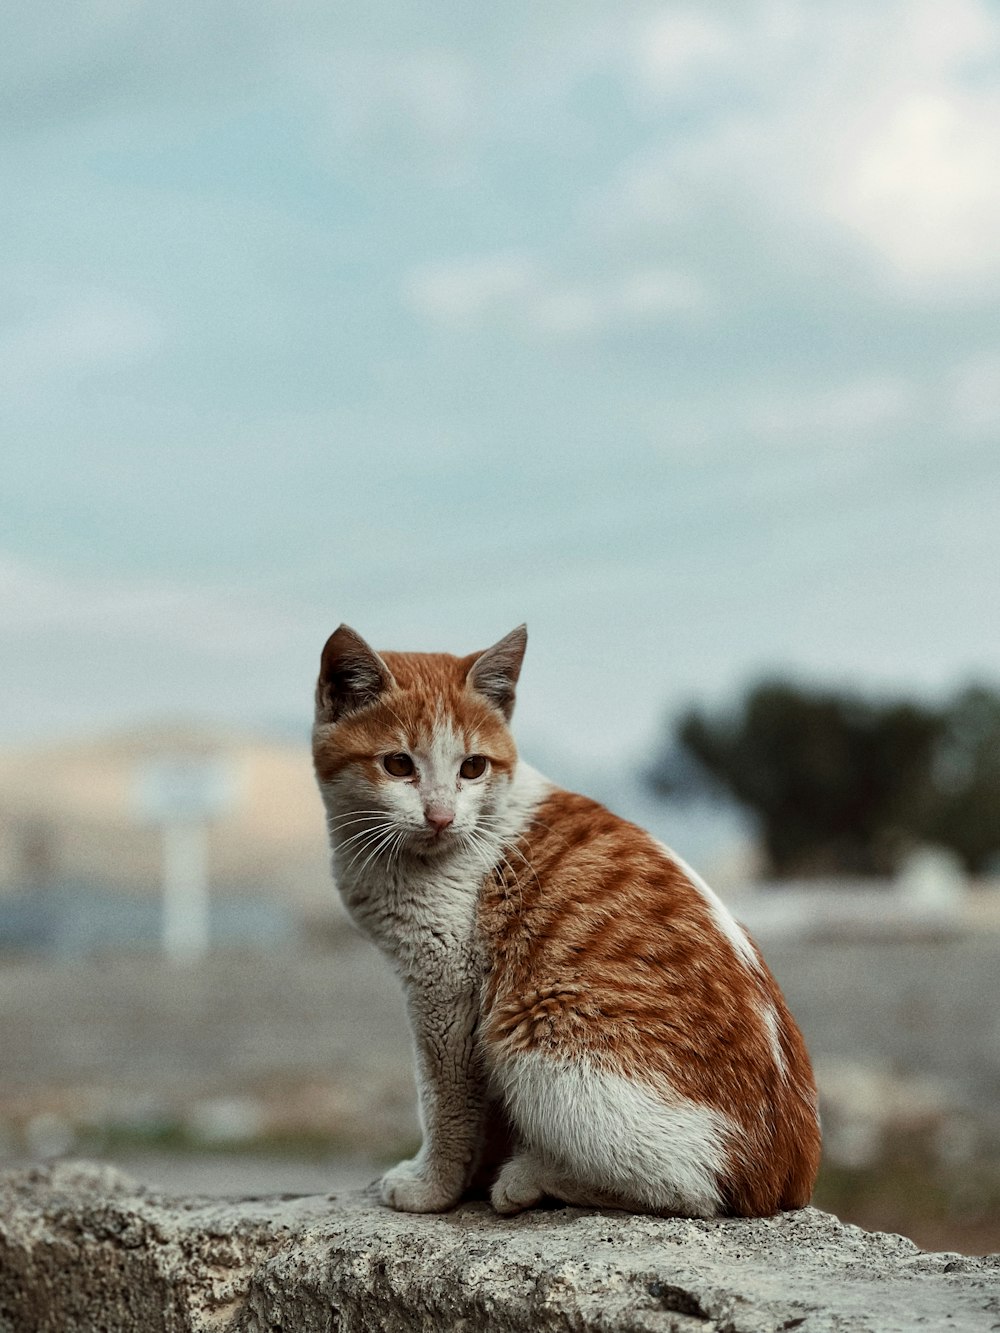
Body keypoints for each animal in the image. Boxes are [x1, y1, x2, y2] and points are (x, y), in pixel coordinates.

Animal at [313, 623, 821, 1221]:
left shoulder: (445, 986)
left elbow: (444, 1100)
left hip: (536, 1043)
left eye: (472, 768)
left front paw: (434, 1186)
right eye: (397, 765)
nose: (440, 817)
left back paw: (531, 1177)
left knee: (688, 1190)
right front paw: (468, 1176)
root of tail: (785, 1175)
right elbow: (477, 1113)